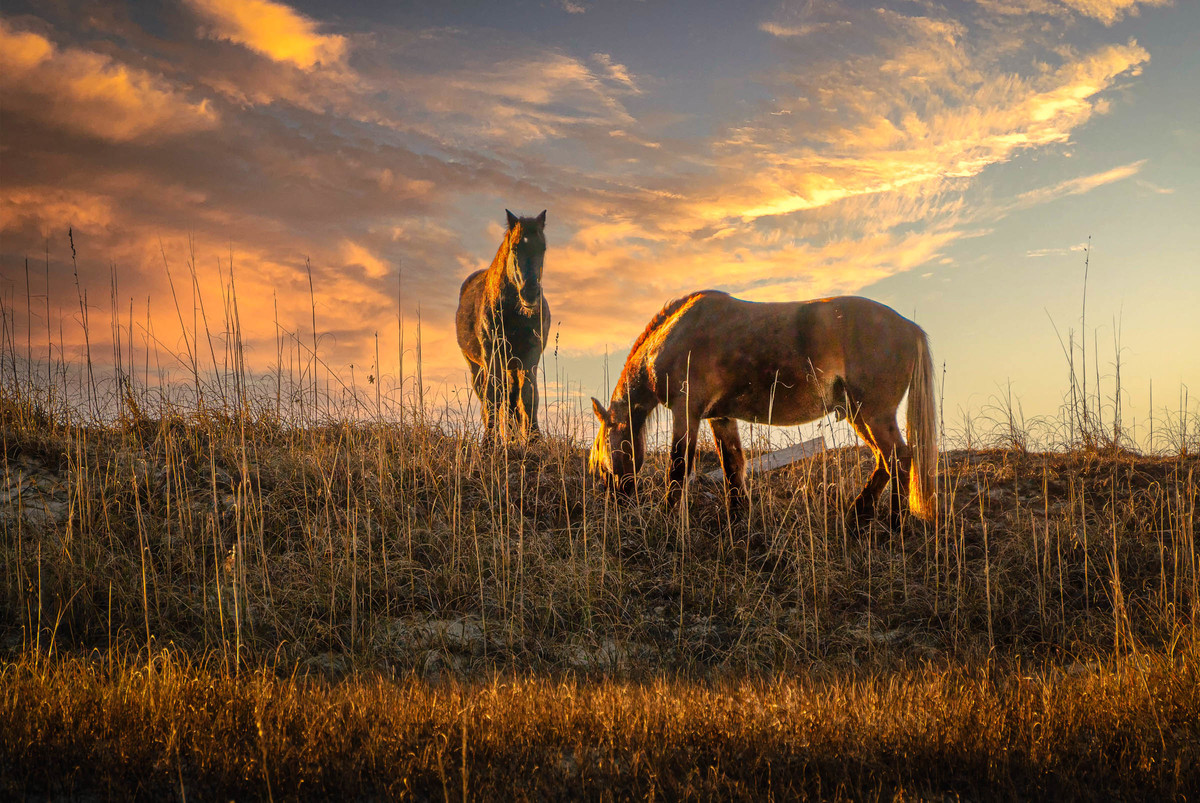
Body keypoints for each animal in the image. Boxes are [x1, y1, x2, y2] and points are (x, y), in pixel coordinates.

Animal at [458, 210, 552, 439]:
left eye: (543, 248)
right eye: (515, 247)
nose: (530, 293)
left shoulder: (530, 354)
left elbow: (528, 395)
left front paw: (534, 439)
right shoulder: (492, 352)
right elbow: (494, 395)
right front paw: (490, 441)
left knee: (513, 398)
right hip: (476, 365)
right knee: (488, 395)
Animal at [590, 291, 936, 523]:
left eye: (602, 449)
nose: (614, 497)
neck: (675, 336)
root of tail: (909, 328)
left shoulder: (686, 413)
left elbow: (678, 466)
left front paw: (668, 515)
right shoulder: (720, 417)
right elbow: (732, 466)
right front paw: (738, 515)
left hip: (873, 415)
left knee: (899, 459)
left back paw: (894, 521)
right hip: (859, 415)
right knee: (885, 461)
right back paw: (859, 510)